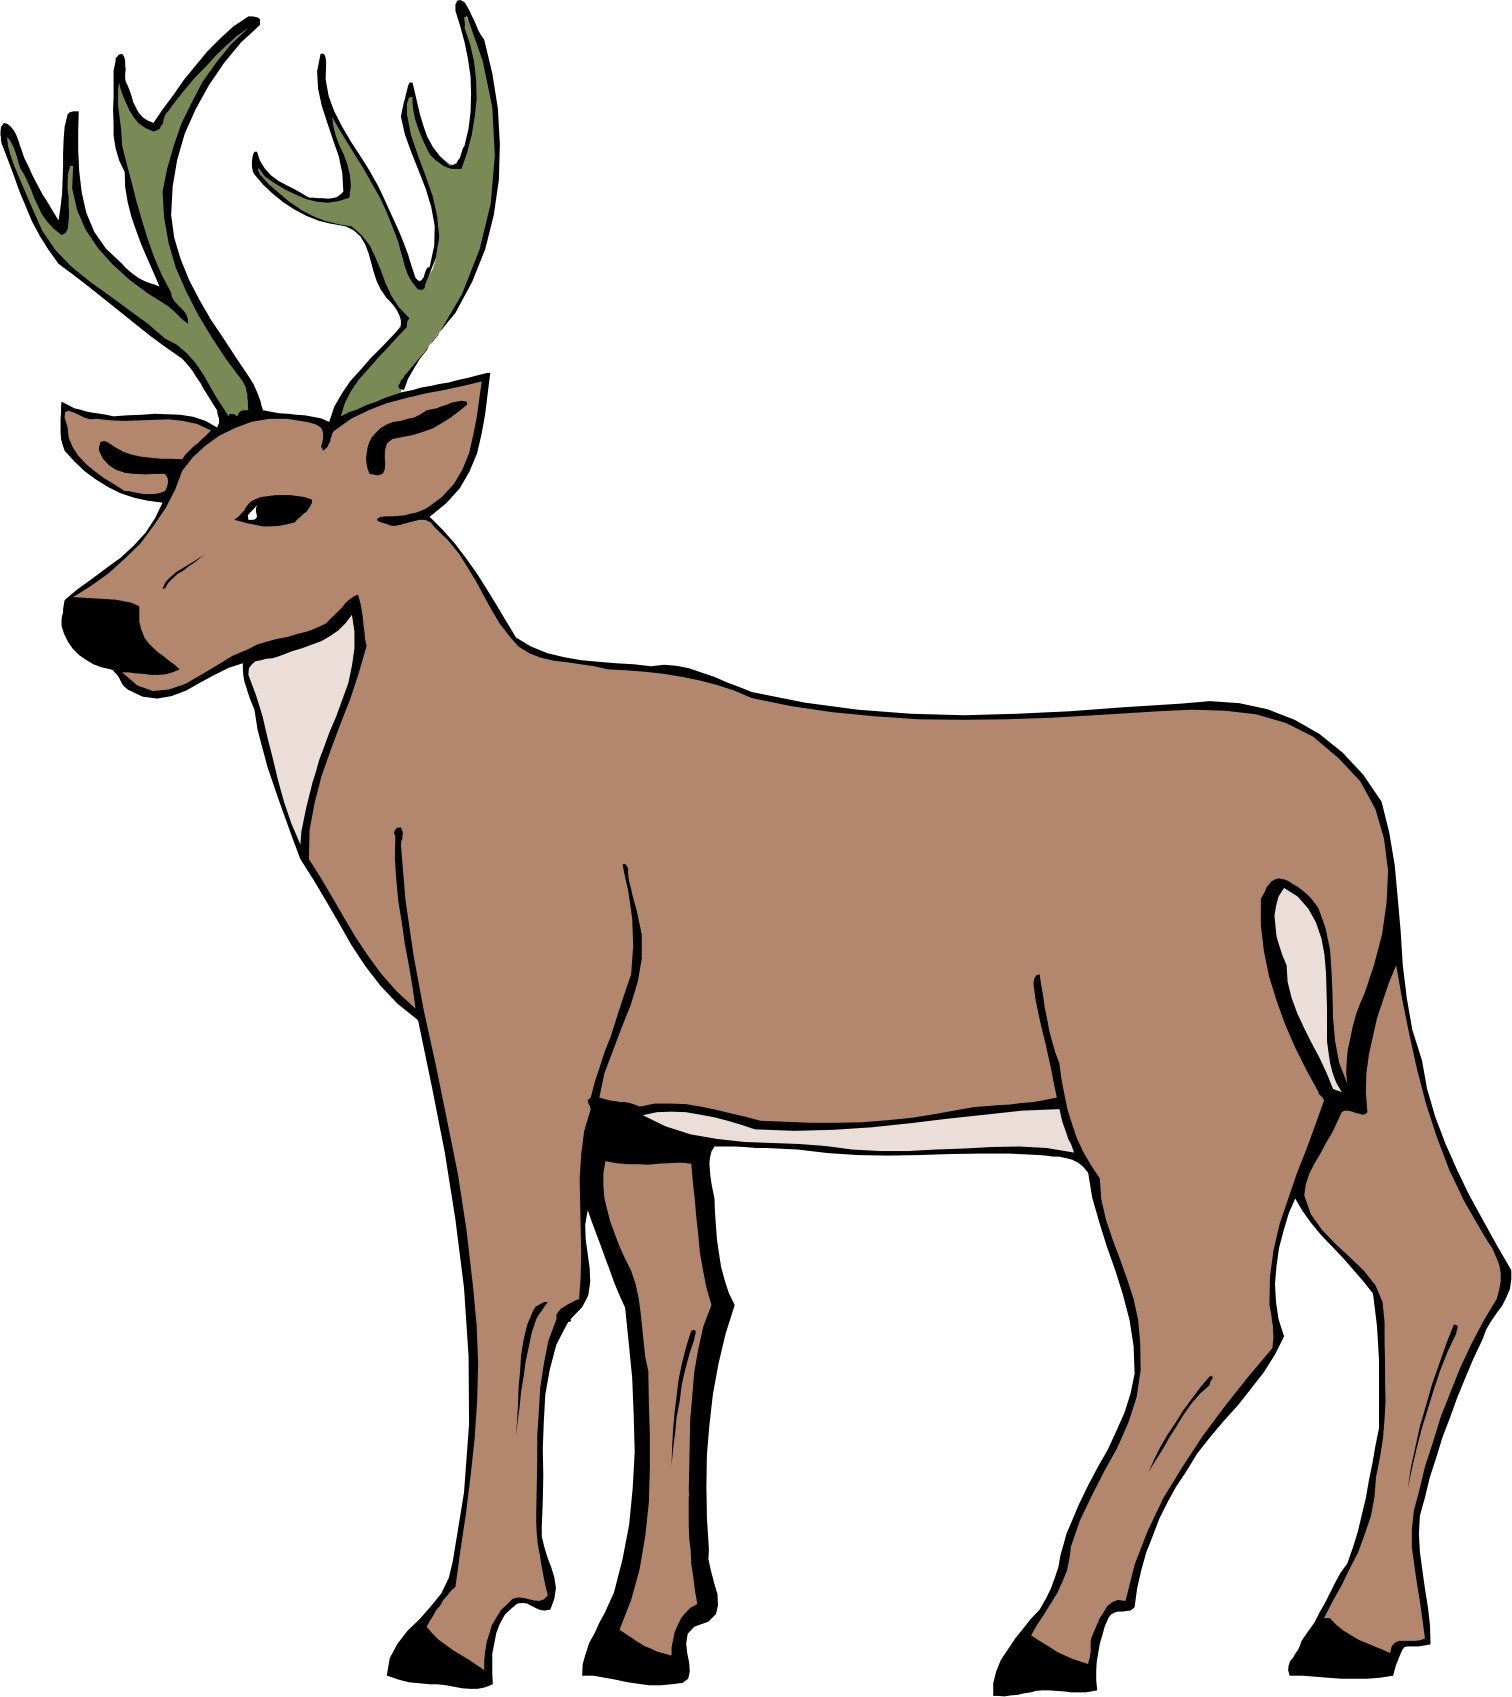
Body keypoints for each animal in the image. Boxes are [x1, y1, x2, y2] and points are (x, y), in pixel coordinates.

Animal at [6, 9, 1505, 1693]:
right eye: (170, 486)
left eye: (281, 502)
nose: (99, 616)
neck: (427, 797)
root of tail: (1345, 832)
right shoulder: (645, 1095)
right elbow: (683, 1303)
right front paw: (644, 1625)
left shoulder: (516, 1004)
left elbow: (518, 1280)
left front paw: (459, 1618)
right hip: (1365, 1052)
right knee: (1444, 1262)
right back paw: (1355, 1622)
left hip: (1167, 1071)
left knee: (1217, 1317)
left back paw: (1051, 1630)